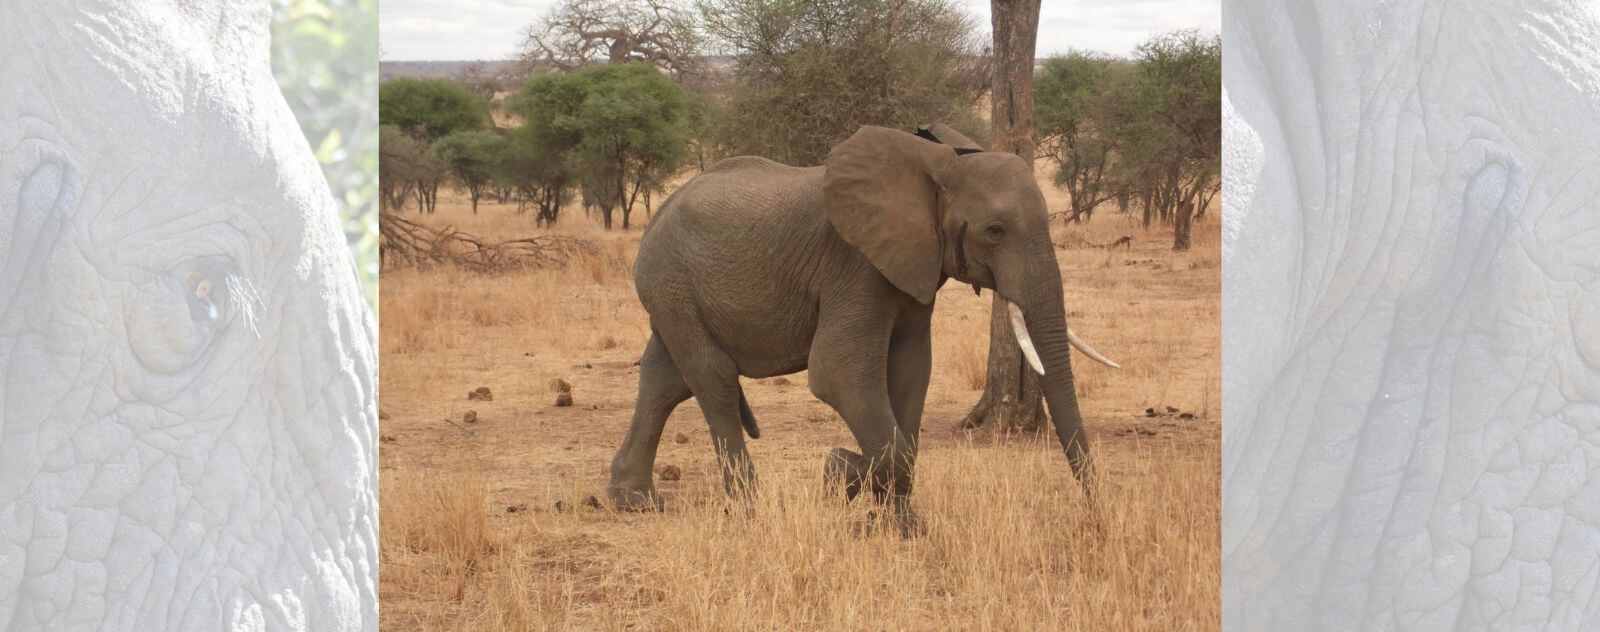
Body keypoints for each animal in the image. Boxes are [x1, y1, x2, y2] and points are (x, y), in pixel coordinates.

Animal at [604, 121, 1120, 531]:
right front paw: (837, 473)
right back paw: (750, 510)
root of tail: (660, 212)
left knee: (665, 378)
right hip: (670, 279)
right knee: (712, 379)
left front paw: (901, 525)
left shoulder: (914, 267)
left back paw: (634, 502)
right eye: (995, 231)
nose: (1095, 520)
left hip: (672, 291)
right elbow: (838, 372)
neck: (938, 166)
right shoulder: (856, 264)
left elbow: (912, 372)